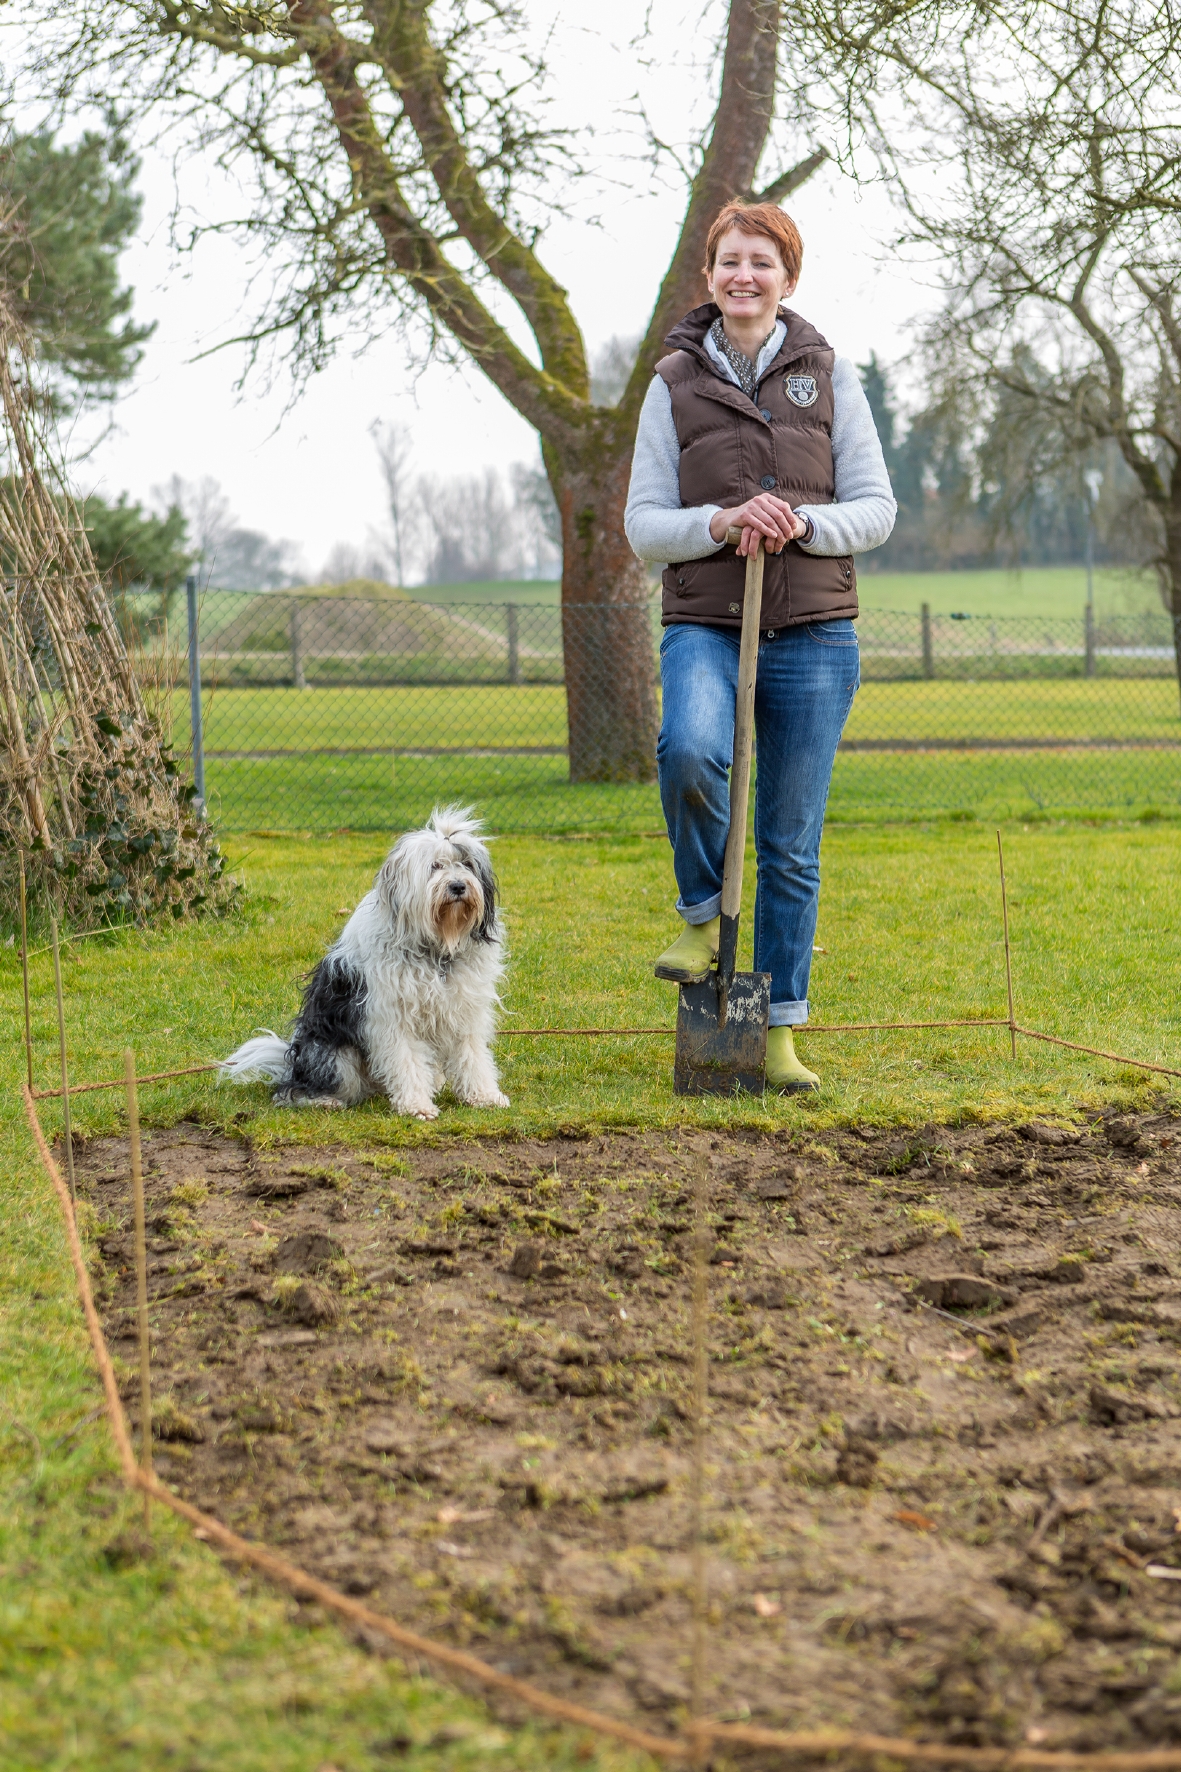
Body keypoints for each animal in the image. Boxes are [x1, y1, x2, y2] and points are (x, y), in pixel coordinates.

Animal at [220, 808, 507, 1112]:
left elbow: (472, 1056)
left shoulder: (464, 1010)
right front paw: (417, 1104)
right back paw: (322, 1099)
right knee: (293, 1091)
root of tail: (292, 1066)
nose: (458, 886)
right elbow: (406, 1060)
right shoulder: (393, 1017)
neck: (437, 948)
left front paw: (485, 1095)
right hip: (333, 1055)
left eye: (467, 864)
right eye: (435, 866)